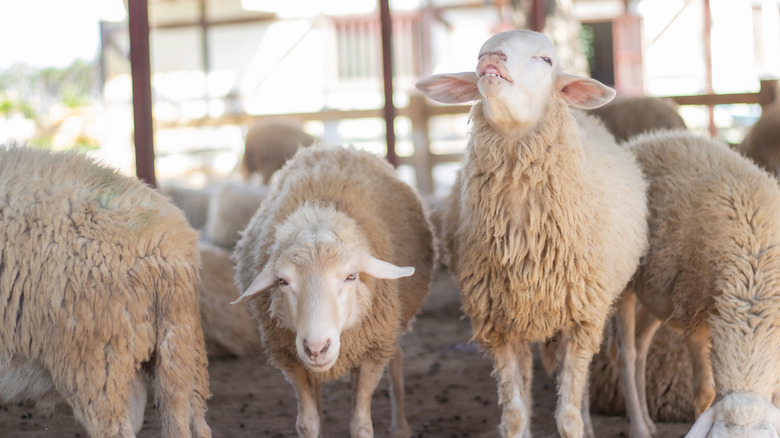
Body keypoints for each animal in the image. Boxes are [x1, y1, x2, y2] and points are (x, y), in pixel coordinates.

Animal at [231, 144, 436, 438]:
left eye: (351, 276)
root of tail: (335, 147)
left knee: (396, 358)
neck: (320, 214)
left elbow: (361, 425)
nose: (317, 348)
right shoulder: (290, 358)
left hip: (390, 328)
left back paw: (401, 427)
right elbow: (307, 423)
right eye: (282, 281)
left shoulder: (373, 349)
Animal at [415, 29, 649, 438]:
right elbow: (515, 415)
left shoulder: (581, 319)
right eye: (478, 52)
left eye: (546, 59)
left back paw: (637, 425)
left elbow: (567, 418)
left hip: (620, 293)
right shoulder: (498, 325)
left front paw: (577, 426)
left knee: (624, 357)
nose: (491, 60)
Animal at [615, 129, 780, 437]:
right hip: (623, 280)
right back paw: (636, 427)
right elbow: (704, 393)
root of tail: (642, 140)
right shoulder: (694, 316)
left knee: (641, 345)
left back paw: (646, 419)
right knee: (625, 354)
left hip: (661, 297)